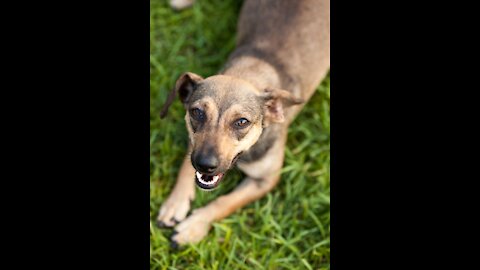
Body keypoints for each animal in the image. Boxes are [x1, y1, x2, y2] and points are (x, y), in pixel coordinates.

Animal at [158, 0, 330, 247]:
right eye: (197, 112)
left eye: (242, 122)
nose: (205, 164)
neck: (248, 73)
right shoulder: (194, 146)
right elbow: (185, 165)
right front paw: (175, 203)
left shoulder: (265, 180)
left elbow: (224, 202)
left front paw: (193, 226)